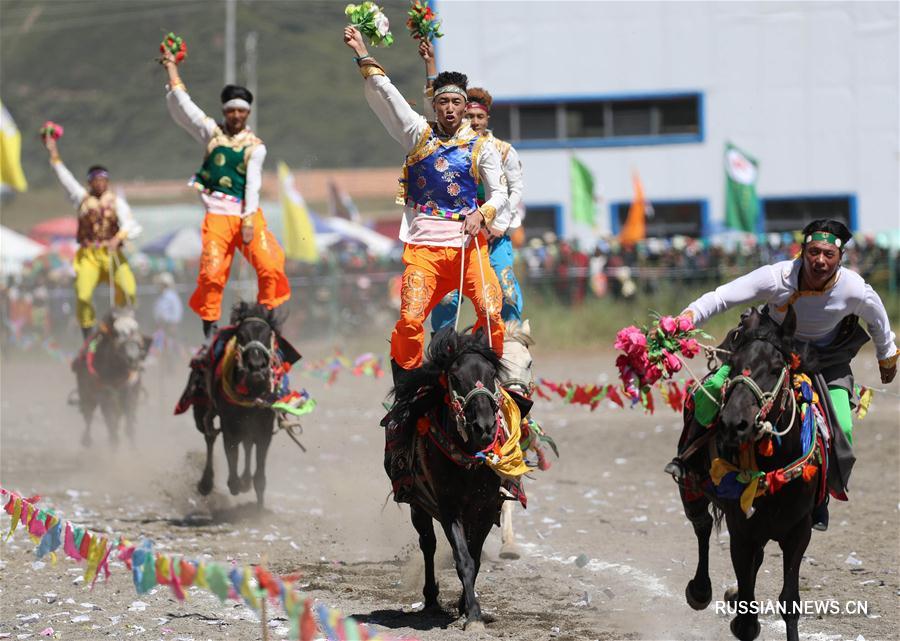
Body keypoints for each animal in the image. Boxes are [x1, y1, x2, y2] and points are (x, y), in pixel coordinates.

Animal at [73, 308, 150, 448]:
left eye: (136, 330)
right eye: (117, 333)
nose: (133, 358)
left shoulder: (131, 391)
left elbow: (129, 421)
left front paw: (133, 447)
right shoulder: (105, 395)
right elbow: (111, 421)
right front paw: (114, 444)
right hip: (86, 393)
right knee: (88, 415)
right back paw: (87, 440)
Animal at [680, 306, 828, 640]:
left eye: (775, 368)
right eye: (733, 364)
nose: (733, 423)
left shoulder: (799, 531)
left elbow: (790, 601)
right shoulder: (741, 532)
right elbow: (748, 620)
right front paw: (740, 616)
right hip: (692, 490)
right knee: (702, 526)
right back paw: (700, 590)